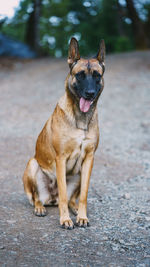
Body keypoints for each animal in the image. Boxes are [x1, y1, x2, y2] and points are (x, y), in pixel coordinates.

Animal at [22, 37, 105, 230]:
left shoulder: (89, 159)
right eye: (80, 75)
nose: (89, 94)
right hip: (32, 164)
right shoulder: (61, 158)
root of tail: (51, 198)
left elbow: (83, 195)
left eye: (97, 76)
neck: (80, 118)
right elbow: (63, 194)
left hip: (79, 174)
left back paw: (74, 209)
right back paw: (40, 208)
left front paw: (81, 216)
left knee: (72, 198)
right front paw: (65, 219)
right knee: (38, 197)